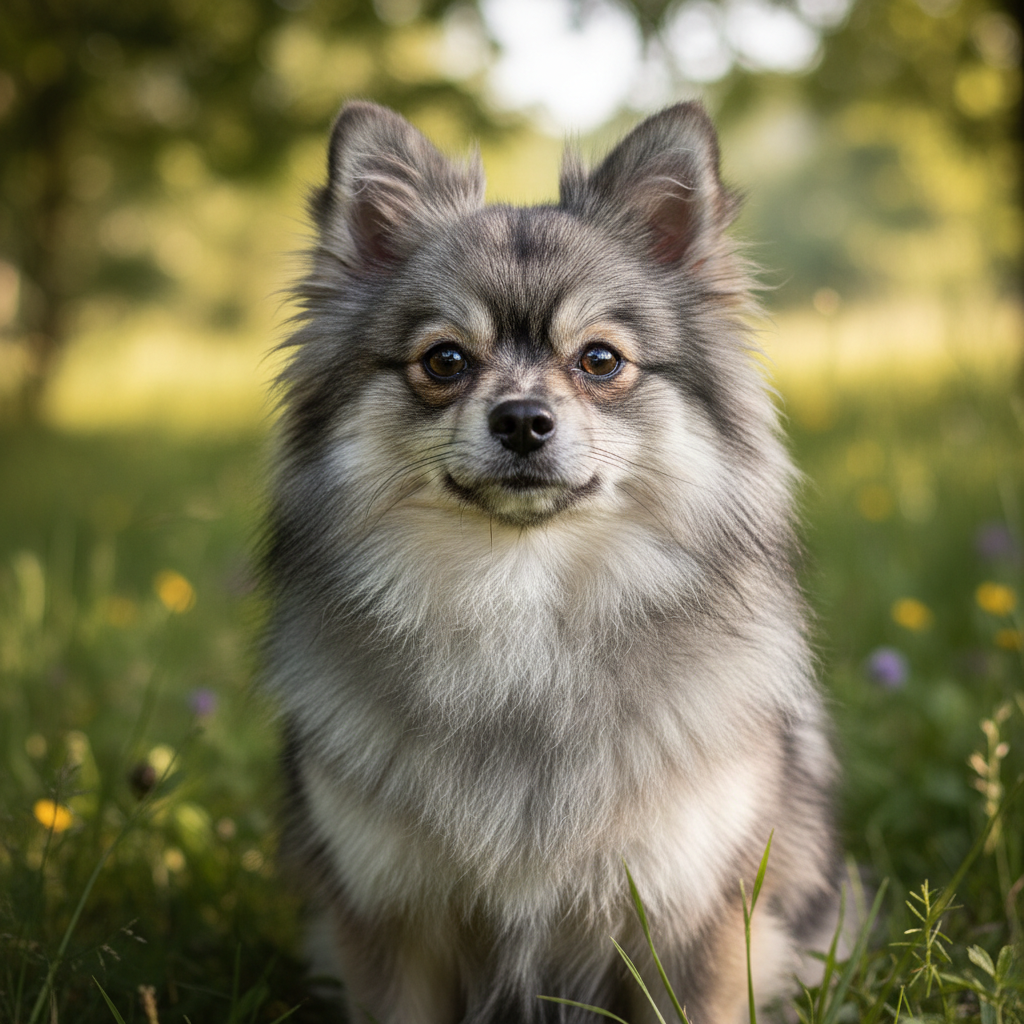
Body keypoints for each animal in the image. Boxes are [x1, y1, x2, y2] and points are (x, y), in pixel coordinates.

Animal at [263, 100, 840, 1024]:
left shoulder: (690, 914)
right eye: (445, 360)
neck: (520, 601)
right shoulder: (394, 919)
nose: (524, 419)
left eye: (599, 360)